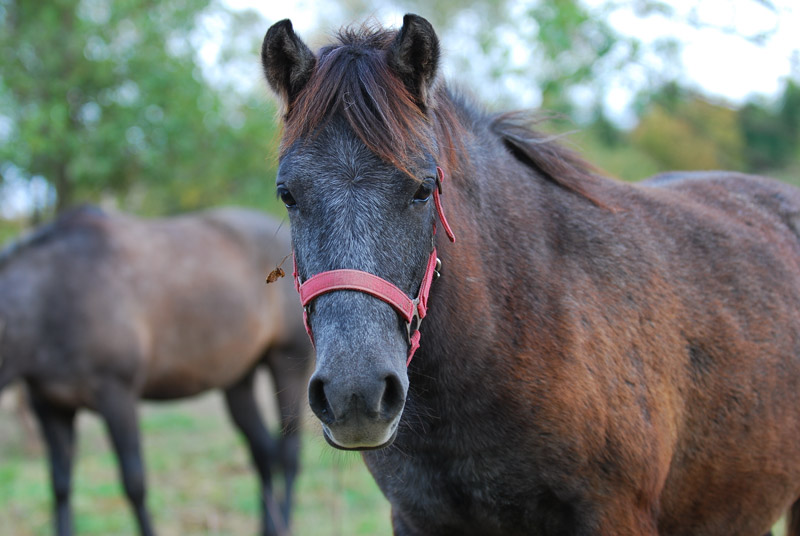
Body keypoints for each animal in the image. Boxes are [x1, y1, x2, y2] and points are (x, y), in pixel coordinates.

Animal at [0, 205, 312, 536]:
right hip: (237, 379)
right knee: (263, 452)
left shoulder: (117, 398)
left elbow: (134, 483)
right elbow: (60, 485)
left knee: (289, 454)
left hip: (287, 364)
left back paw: (284, 523)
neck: (52, 298)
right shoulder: (49, 407)